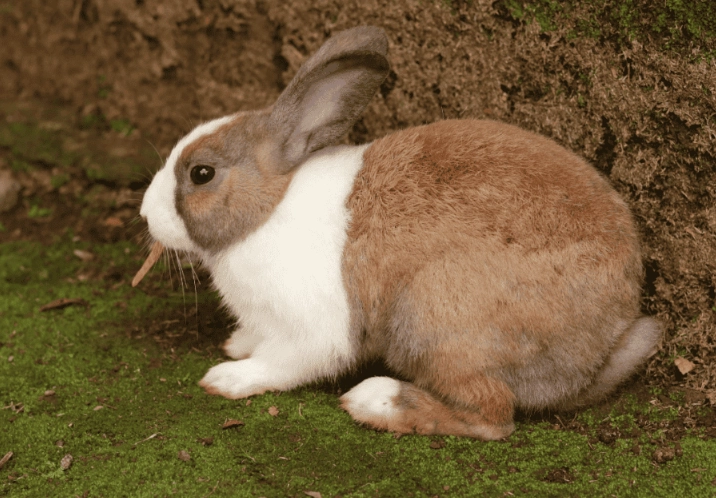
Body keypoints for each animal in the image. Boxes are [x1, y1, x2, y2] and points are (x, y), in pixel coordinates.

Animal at [139, 26, 662, 440]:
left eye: (202, 174)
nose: (145, 214)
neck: (269, 208)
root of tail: (603, 346)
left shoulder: (316, 330)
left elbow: (283, 362)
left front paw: (227, 377)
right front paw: (238, 344)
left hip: (435, 316)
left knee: (492, 415)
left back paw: (376, 401)